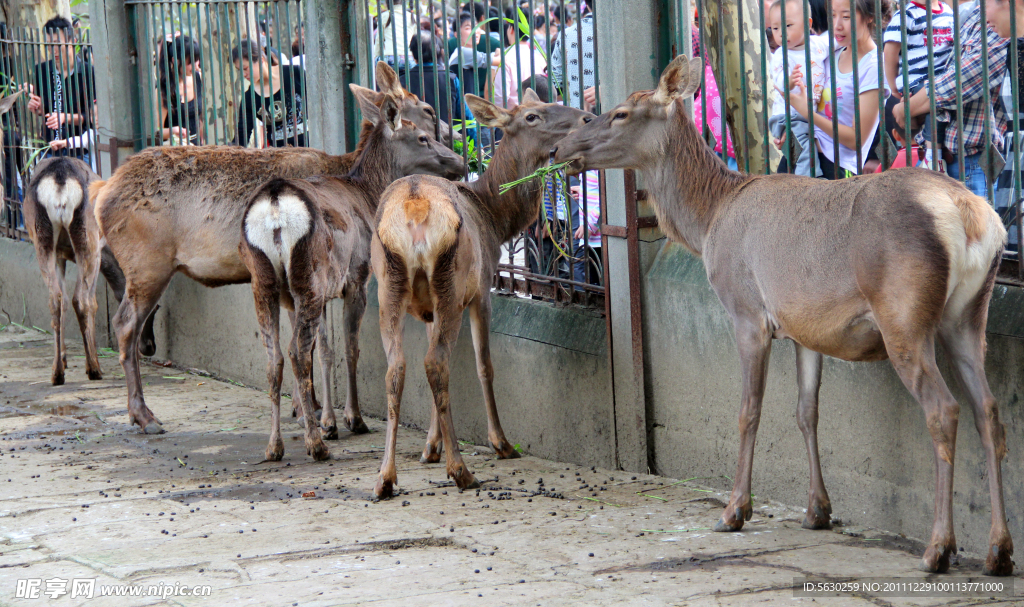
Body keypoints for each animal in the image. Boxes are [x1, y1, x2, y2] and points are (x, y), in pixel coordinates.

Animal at [94, 62, 450, 436]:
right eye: (428, 110)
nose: (450, 133)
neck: (354, 175)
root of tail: (103, 194)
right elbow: (314, 344)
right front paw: (312, 412)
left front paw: (305, 408)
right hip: (148, 261)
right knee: (124, 325)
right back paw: (144, 415)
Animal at [239, 78, 464, 460]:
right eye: (422, 134)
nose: (461, 159)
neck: (367, 193)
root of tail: (274, 207)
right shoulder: (357, 277)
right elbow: (350, 347)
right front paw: (350, 419)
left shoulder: (318, 291)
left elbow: (326, 350)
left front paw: (326, 420)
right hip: (308, 277)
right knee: (296, 352)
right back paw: (315, 446)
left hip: (266, 282)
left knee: (275, 359)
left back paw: (274, 446)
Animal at [370, 91, 598, 497]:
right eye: (532, 116)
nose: (588, 117)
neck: (495, 217)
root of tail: (414, 208)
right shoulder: (482, 291)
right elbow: (484, 366)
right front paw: (500, 443)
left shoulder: (428, 309)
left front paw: (430, 447)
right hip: (451, 283)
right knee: (436, 363)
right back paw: (461, 470)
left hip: (389, 286)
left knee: (398, 367)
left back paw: (385, 477)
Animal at [557, 55, 1011, 573]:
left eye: (619, 113)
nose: (562, 146)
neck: (707, 221)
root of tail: (973, 217)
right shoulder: (803, 327)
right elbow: (806, 411)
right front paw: (818, 510)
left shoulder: (746, 311)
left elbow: (748, 411)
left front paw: (734, 510)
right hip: (968, 316)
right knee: (988, 411)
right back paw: (999, 550)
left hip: (904, 314)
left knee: (944, 409)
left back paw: (939, 547)